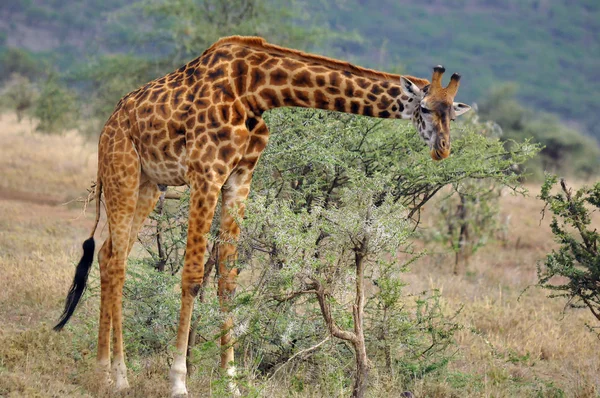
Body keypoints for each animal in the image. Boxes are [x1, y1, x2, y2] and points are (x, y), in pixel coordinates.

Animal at [54, 35, 468, 396]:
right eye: (425, 108)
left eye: (453, 114)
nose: (443, 149)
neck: (256, 90)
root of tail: (108, 123)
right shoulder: (206, 173)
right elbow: (192, 276)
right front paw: (178, 382)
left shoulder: (240, 177)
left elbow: (228, 280)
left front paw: (231, 382)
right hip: (122, 170)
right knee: (117, 261)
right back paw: (118, 375)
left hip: (149, 183)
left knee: (110, 254)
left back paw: (102, 369)